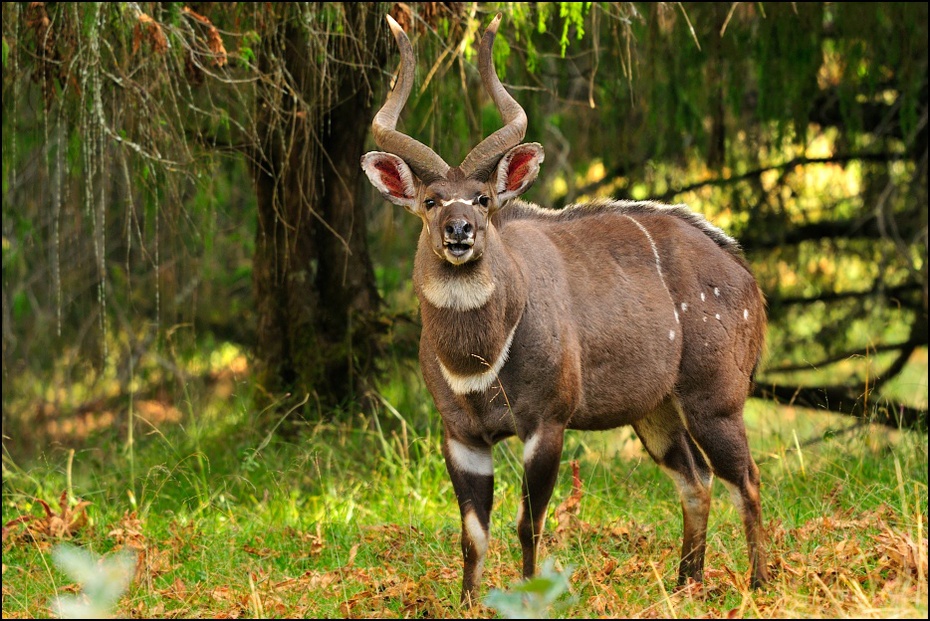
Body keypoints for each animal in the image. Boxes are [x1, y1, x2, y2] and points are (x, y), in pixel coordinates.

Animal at [360, 12, 768, 604]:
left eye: (483, 199)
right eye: (430, 201)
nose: (460, 232)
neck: (479, 361)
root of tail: (744, 274)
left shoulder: (546, 424)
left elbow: (527, 523)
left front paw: (530, 596)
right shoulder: (461, 436)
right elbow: (472, 534)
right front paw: (468, 603)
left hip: (715, 400)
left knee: (746, 478)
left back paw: (760, 583)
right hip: (656, 412)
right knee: (697, 480)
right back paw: (685, 584)